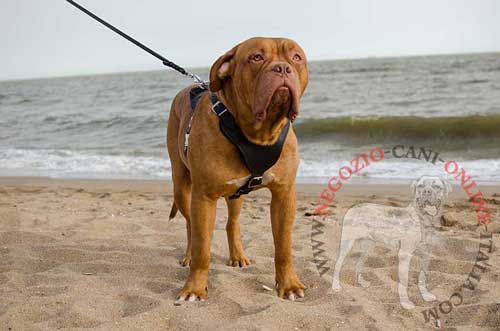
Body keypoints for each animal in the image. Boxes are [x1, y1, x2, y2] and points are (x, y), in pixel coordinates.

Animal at [168, 37, 306, 302]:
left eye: (296, 57)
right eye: (256, 57)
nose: (283, 68)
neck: (258, 134)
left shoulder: (284, 195)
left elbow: (283, 247)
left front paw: (289, 284)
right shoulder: (203, 197)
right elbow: (203, 249)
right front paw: (194, 288)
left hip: (235, 196)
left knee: (232, 222)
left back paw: (237, 255)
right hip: (181, 187)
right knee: (191, 227)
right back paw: (188, 255)